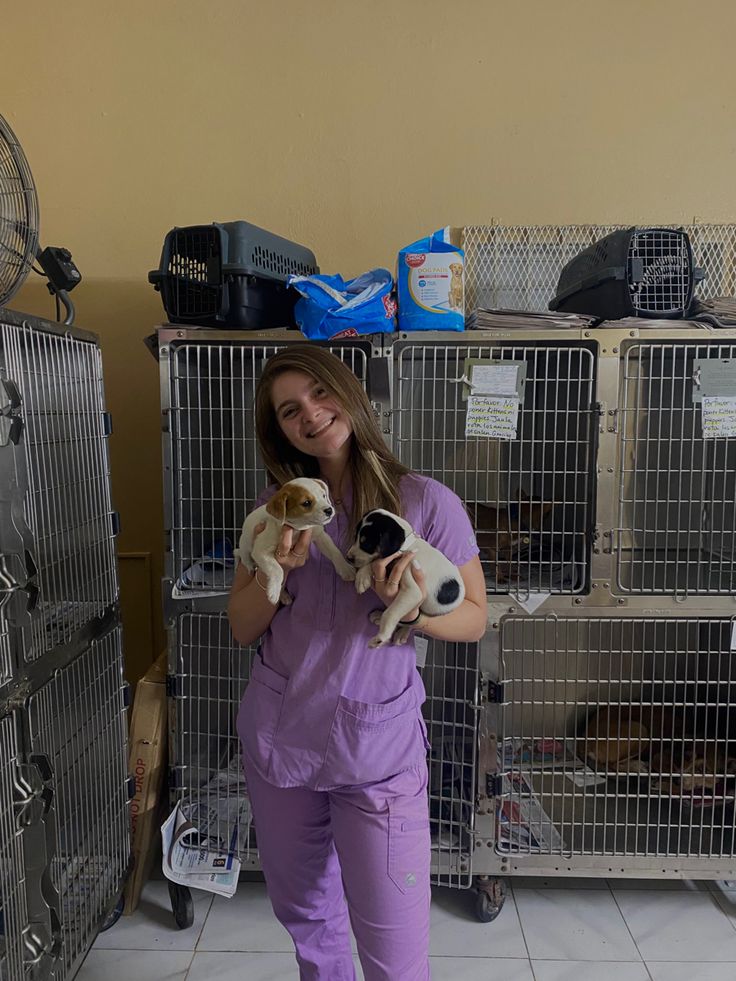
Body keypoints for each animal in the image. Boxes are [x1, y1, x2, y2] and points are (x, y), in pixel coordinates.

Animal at [233, 476, 354, 604]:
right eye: (306, 503)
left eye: (323, 495)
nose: (329, 510)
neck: (298, 529)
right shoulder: (261, 550)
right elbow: (277, 570)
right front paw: (274, 591)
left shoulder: (320, 535)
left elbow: (335, 551)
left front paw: (346, 569)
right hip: (244, 543)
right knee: (241, 554)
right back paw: (250, 566)